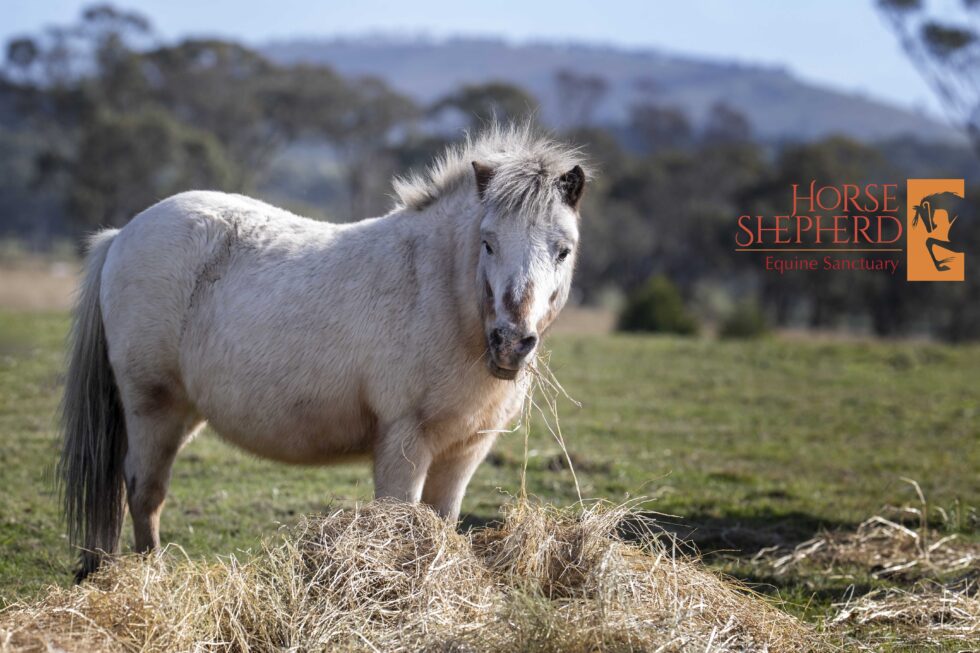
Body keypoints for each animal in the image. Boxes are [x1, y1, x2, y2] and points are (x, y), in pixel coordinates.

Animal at [59, 125, 587, 581]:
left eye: (563, 250)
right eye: (488, 243)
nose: (511, 343)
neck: (442, 294)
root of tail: (121, 235)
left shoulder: (464, 451)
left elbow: (439, 526)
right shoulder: (404, 444)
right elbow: (399, 528)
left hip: (183, 414)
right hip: (153, 407)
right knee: (143, 491)